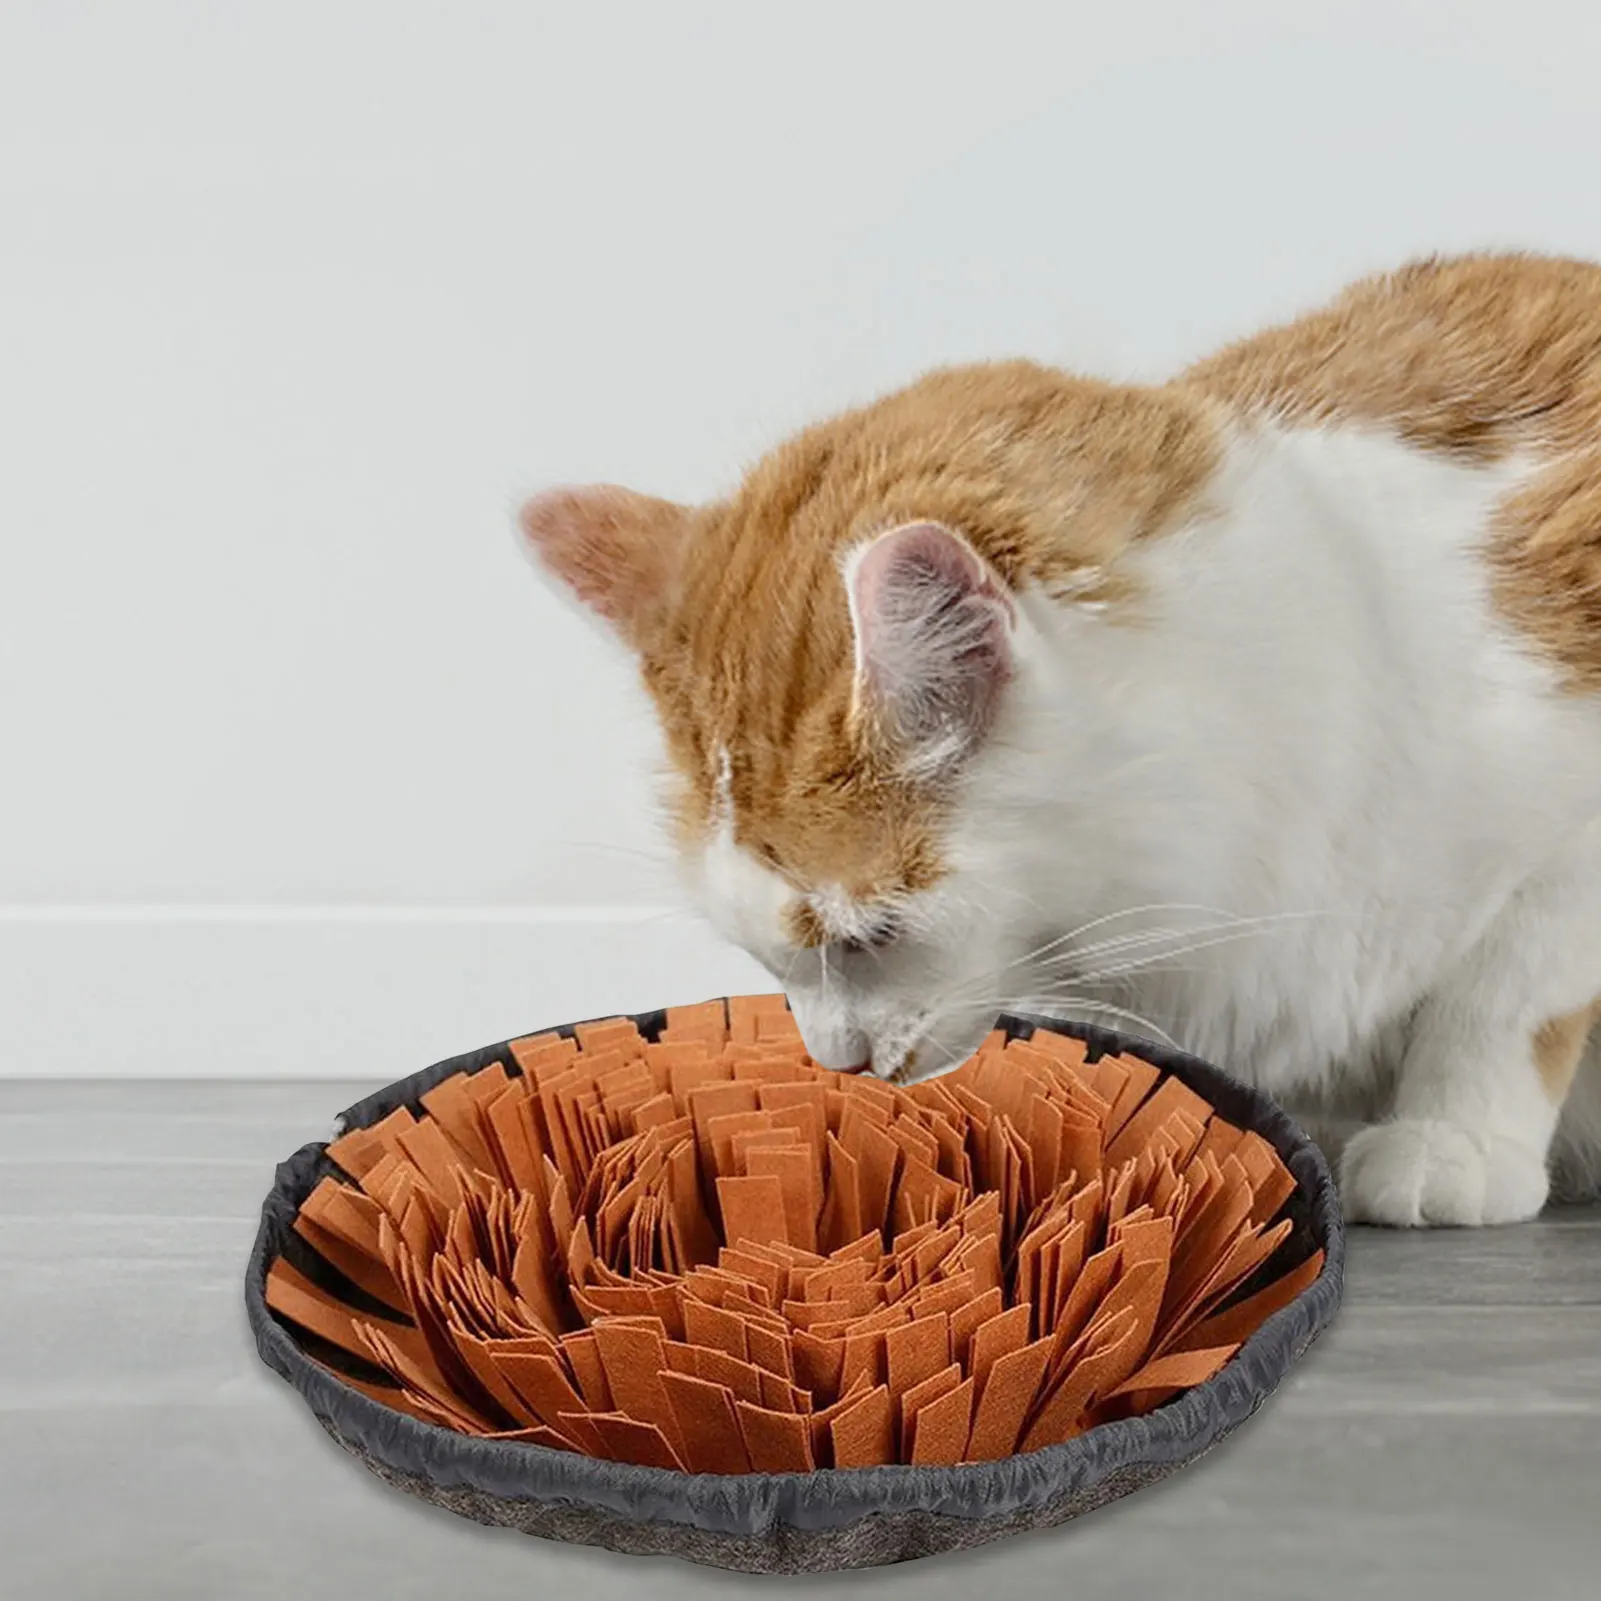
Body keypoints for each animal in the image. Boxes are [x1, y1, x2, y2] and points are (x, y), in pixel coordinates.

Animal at [519, 253, 1601, 1228]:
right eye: (756, 951)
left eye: (869, 936)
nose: (839, 1057)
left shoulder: (1564, 846)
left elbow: (1504, 1003)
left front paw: (1454, 1141)